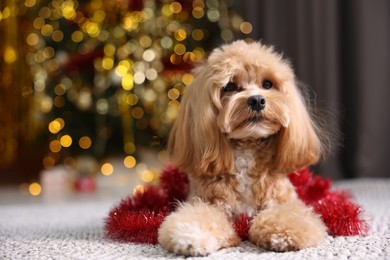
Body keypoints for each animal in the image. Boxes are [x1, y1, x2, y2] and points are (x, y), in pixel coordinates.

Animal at [157, 40, 328, 256]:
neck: (247, 149)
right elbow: (199, 216)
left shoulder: (283, 200)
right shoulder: (206, 201)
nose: (256, 100)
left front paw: (283, 233)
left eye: (267, 84)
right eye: (230, 86)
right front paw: (191, 235)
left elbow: (286, 214)